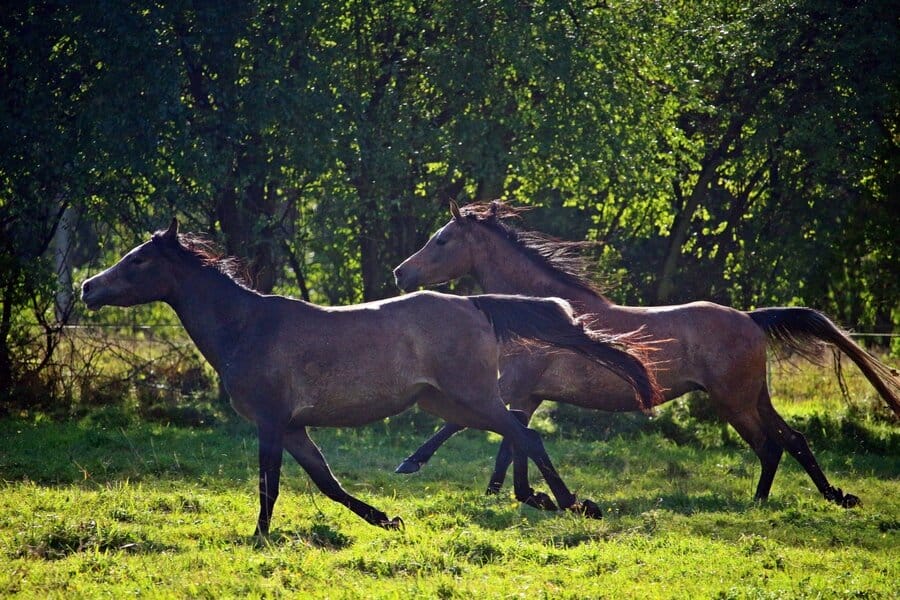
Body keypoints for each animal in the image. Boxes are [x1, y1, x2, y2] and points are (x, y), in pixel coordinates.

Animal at [81, 219, 660, 536]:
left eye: (137, 261)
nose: (87, 287)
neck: (245, 326)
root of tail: (474, 302)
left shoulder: (269, 421)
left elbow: (270, 484)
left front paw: (259, 536)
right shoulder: (292, 426)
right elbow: (327, 482)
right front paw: (386, 519)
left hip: (472, 397)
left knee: (526, 433)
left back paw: (572, 503)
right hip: (448, 404)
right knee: (518, 430)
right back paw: (533, 497)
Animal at [390, 200, 896, 506]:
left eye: (441, 240)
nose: (399, 273)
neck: (540, 313)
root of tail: (752, 319)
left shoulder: (512, 387)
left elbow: (465, 425)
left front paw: (411, 463)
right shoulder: (527, 395)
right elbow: (512, 443)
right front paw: (515, 494)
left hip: (732, 401)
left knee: (769, 445)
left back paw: (758, 502)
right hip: (753, 396)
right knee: (795, 439)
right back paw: (834, 495)